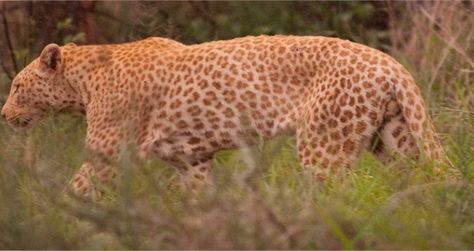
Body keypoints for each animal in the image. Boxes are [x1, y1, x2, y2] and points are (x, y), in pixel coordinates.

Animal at [0, 34, 452, 197]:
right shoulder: (193, 160)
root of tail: (391, 63)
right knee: (418, 178)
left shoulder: (107, 155)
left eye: (18, 87)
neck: (82, 81)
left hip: (324, 146)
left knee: (334, 193)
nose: (4, 115)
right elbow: (197, 197)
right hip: (394, 138)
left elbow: (76, 189)